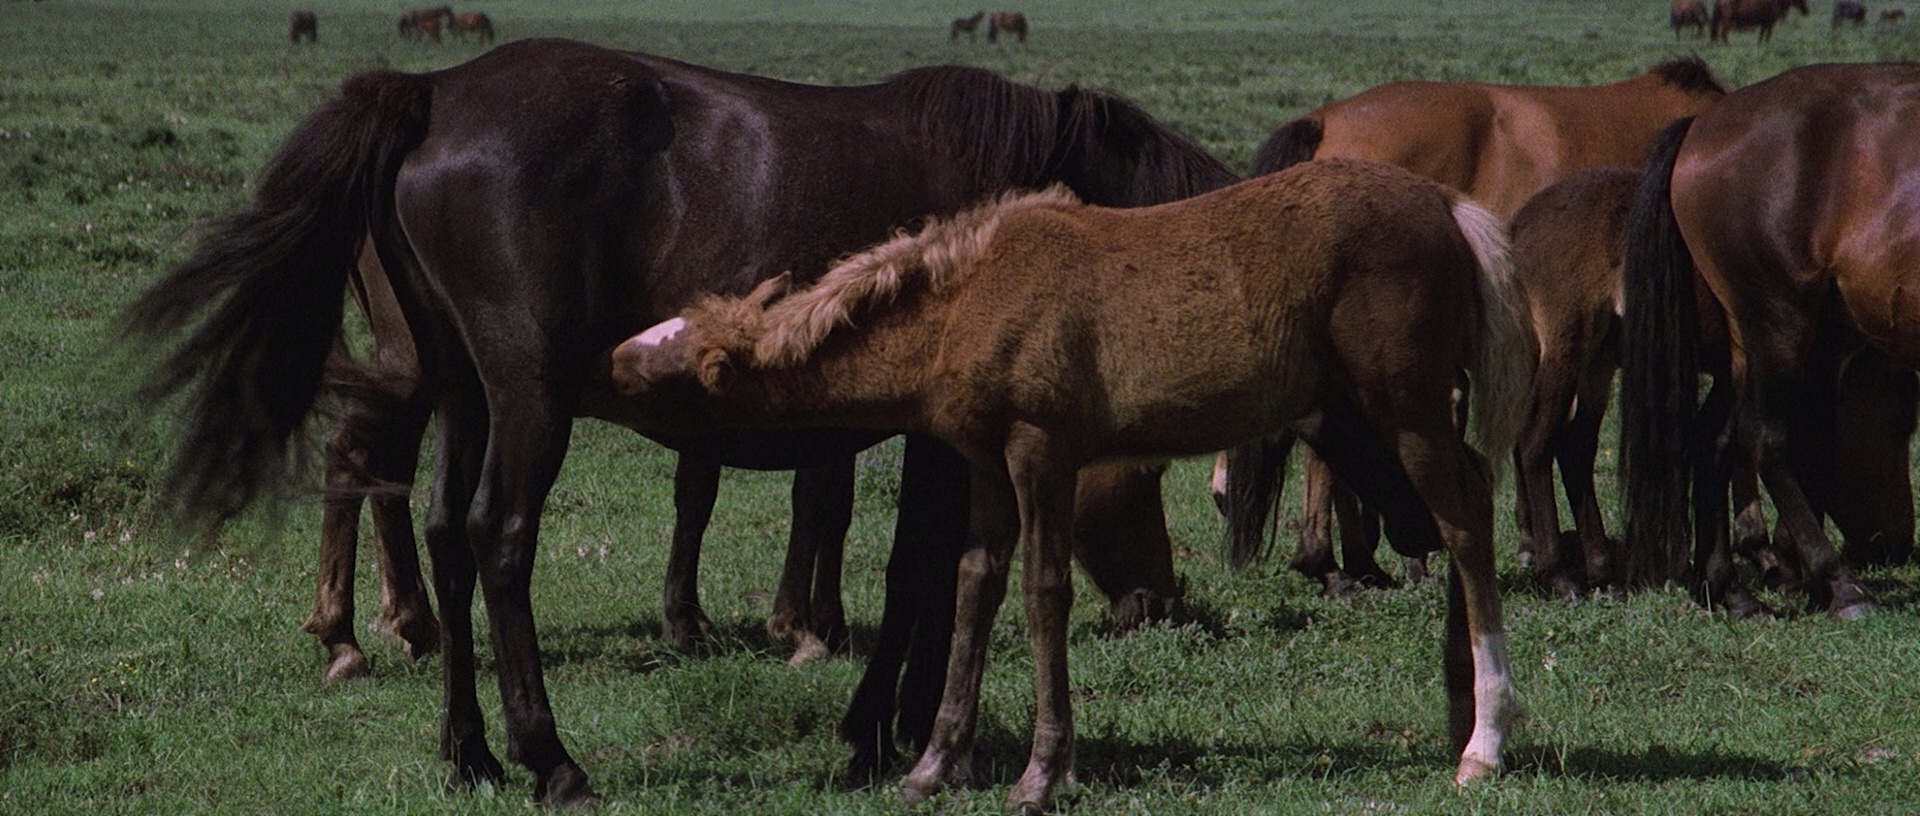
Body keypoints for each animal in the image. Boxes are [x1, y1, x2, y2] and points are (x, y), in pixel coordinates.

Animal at [122, 38, 1237, 804]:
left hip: (461, 391)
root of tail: (435, 92)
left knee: (440, 532)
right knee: (497, 537)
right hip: (526, 395)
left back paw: (467, 748)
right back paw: (550, 758)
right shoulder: (940, 434)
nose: (1161, 600)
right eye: (1146, 473)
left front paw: (894, 726)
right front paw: (892, 728)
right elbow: (919, 568)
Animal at [606, 159, 1534, 811]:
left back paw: (1485, 740)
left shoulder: (1039, 453)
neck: (970, 300)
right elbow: (974, 586)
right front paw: (934, 764)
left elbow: (1042, 591)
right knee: (1464, 504)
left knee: (1464, 518)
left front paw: (1042, 772)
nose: (612, 358)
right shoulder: (985, 465)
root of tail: (1450, 208)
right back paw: (1460, 715)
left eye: (681, 372)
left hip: (1404, 406)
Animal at [1619, 62, 1920, 621]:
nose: (1894, 543)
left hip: (1756, 344)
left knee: (1717, 438)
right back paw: (1839, 584)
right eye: (1894, 426)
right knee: (1767, 440)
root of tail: (1702, 126)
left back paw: (1729, 589)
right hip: (1777, 323)